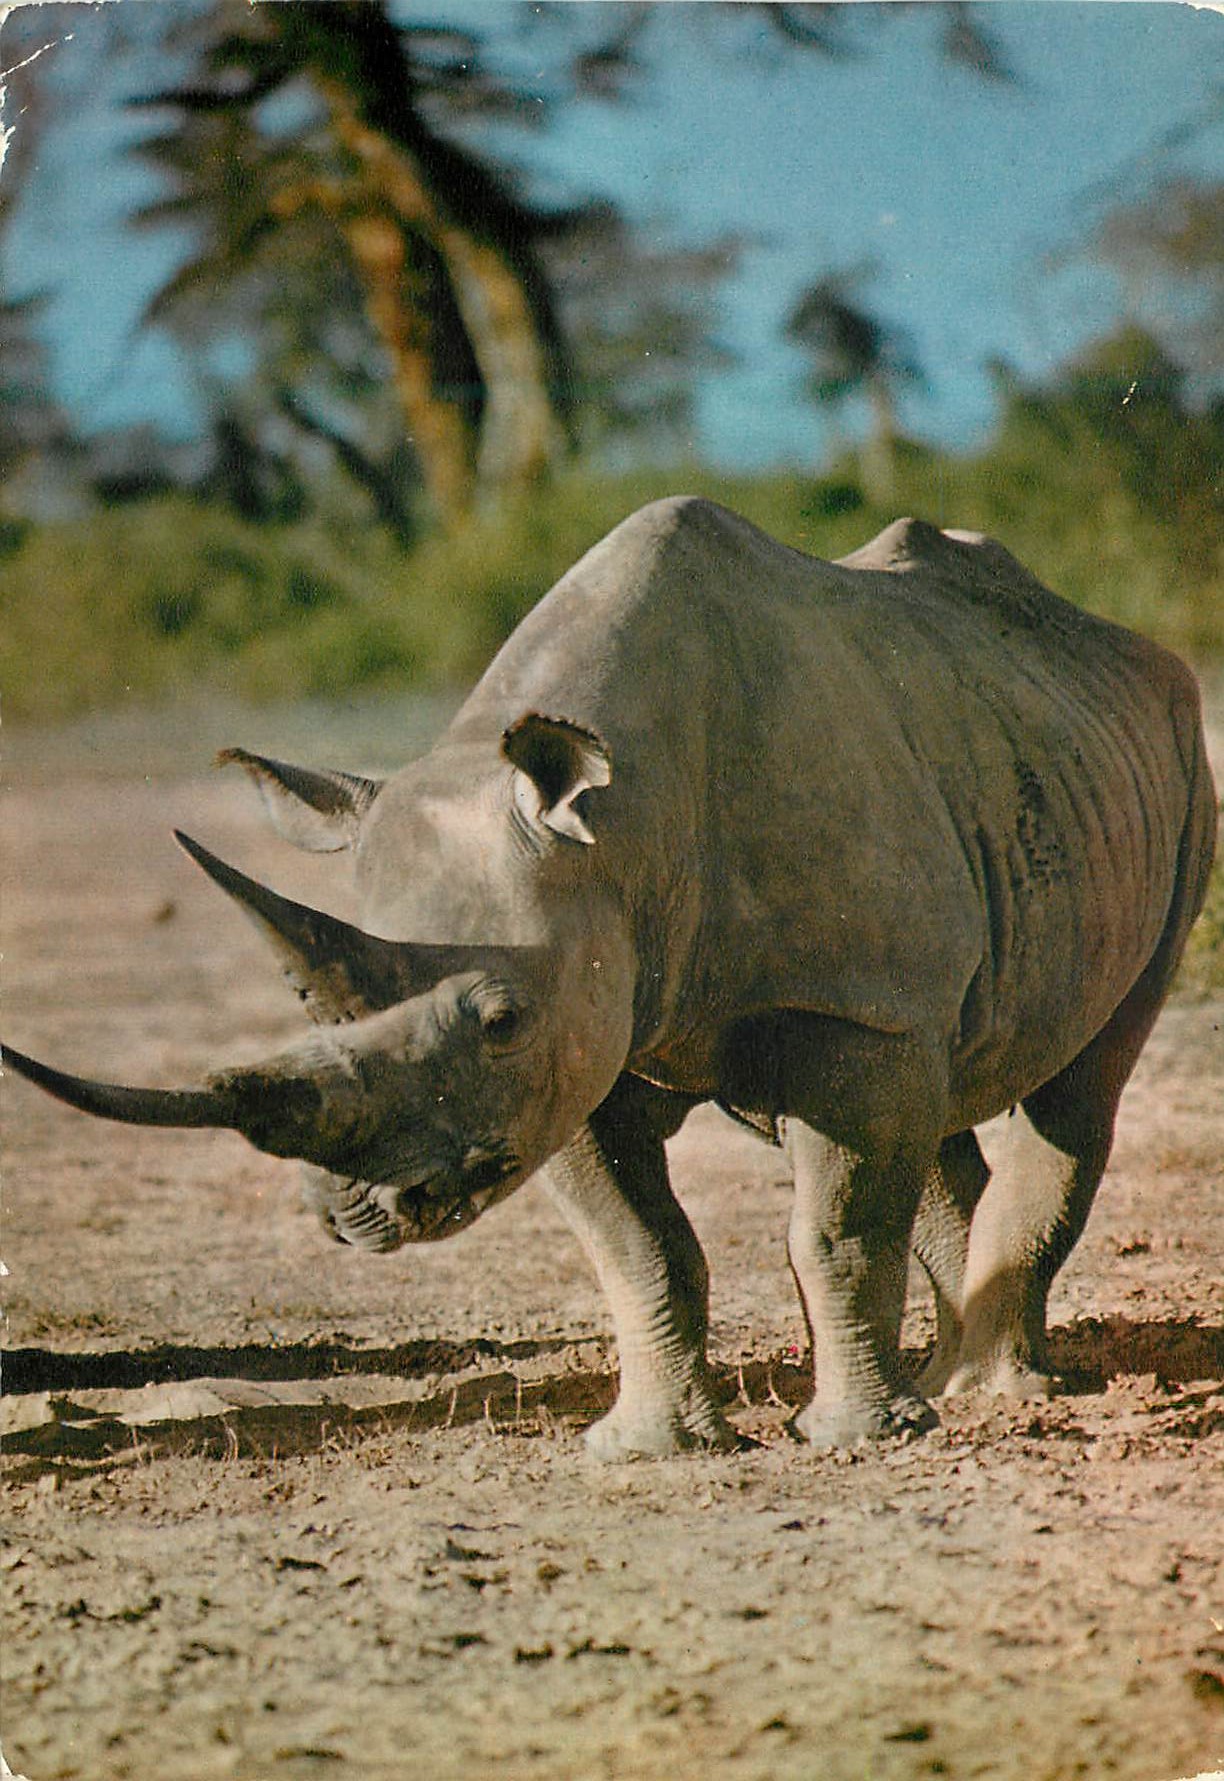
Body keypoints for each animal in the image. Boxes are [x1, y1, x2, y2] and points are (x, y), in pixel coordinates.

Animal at [6, 499, 1217, 1457]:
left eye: (496, 1019)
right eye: (306, 1000)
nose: (359, 1211)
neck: (622, 828)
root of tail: (1114, 640)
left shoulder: (830, 1003)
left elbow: (834, 1228)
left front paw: (854, 1442)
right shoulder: (580, 1048)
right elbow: (639, 1245)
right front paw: (649, 1450)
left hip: (1176, 758)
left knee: (1077, 1089)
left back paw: (986, 1391)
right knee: (934, 1098)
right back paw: (950, 1380)